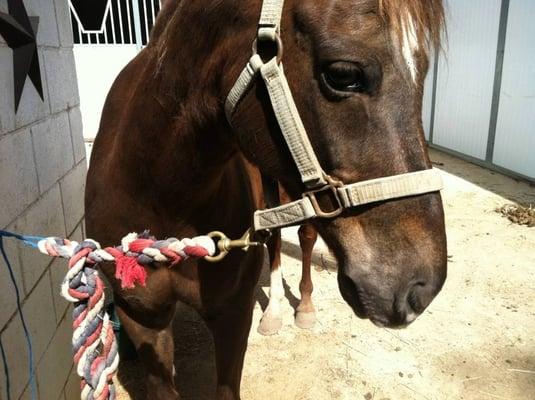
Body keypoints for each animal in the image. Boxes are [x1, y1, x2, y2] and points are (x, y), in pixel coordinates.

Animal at [86, 1, 448, 398]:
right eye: (342, 74)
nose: (421, 287)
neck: (163, 199)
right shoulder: (143, 319)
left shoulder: (232, 314)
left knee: (303, 237)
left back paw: (303, 307)